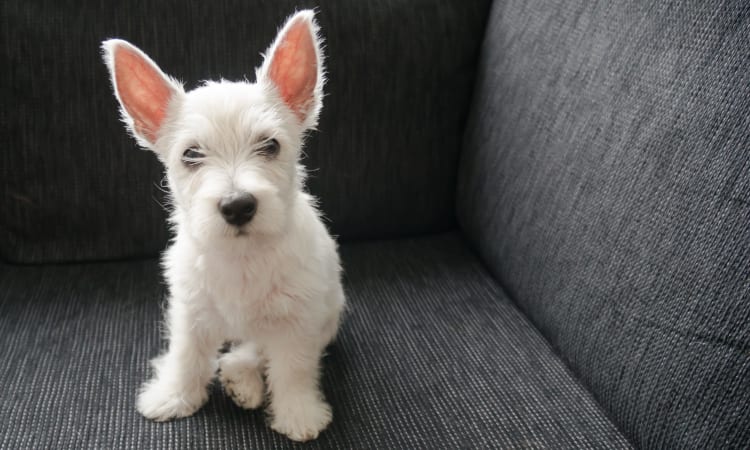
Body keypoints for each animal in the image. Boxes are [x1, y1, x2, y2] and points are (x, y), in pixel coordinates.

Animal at [101, 11, 346, 442]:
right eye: (191, 154)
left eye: (270, 145)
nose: (237, 206)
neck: (241, 254)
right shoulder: (189, 310)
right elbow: (186, 356)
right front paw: (173, 396)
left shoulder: (299, 320)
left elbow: (293, 369)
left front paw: (298, 413)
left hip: (328, 313)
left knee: (254, 348)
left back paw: (241, 376)